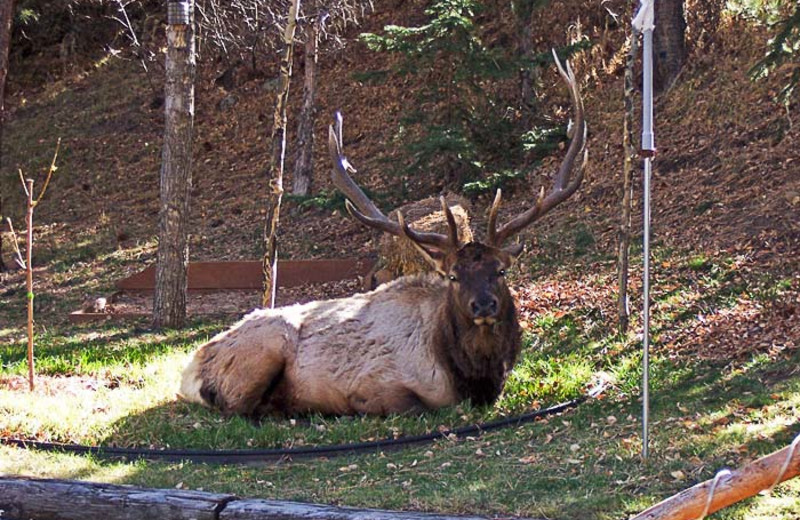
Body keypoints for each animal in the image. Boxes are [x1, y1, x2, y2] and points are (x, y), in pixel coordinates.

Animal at [178, 53, 584, 418]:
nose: (483, 305)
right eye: (453, 276)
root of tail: (194, 366)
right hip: (266, 346)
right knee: (238, 406)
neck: (469, 377)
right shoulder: (376, 385)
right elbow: (414, 407)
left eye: (500, 271)